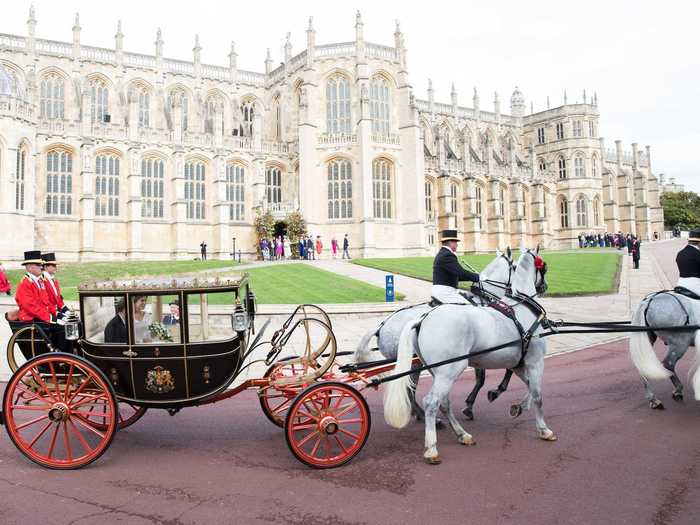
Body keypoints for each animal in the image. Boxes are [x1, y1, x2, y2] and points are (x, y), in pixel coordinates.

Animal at [352, 248, 516, 420]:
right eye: (515, 267)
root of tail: (382, 325)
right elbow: (489, 376)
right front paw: (479, 400)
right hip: (412, 363)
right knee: (409, 389)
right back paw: (424, 415)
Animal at [382, 246, 552, 462]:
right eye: (544, 266)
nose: (545, 286)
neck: (520, 306)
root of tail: (422, 319)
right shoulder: (534, 361)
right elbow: (537, 393)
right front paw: (543, 429)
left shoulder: (518, 362)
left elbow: (529, 386)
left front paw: (516, 406)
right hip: (447, 370)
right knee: (431, 402)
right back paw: (432, 446)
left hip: (437, 371)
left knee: (442, 402)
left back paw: (461, 434)